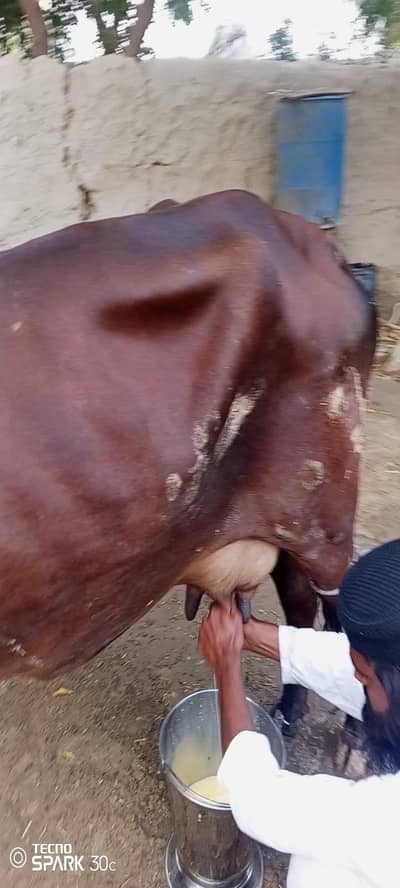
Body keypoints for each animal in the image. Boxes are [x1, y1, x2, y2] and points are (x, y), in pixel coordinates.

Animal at [0, 190, 376, 737]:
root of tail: (315, 240)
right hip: (285, 518)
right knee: (300, 605)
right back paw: (288, 712)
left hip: (326, 515)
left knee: (336, 609)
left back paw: (355, 727)